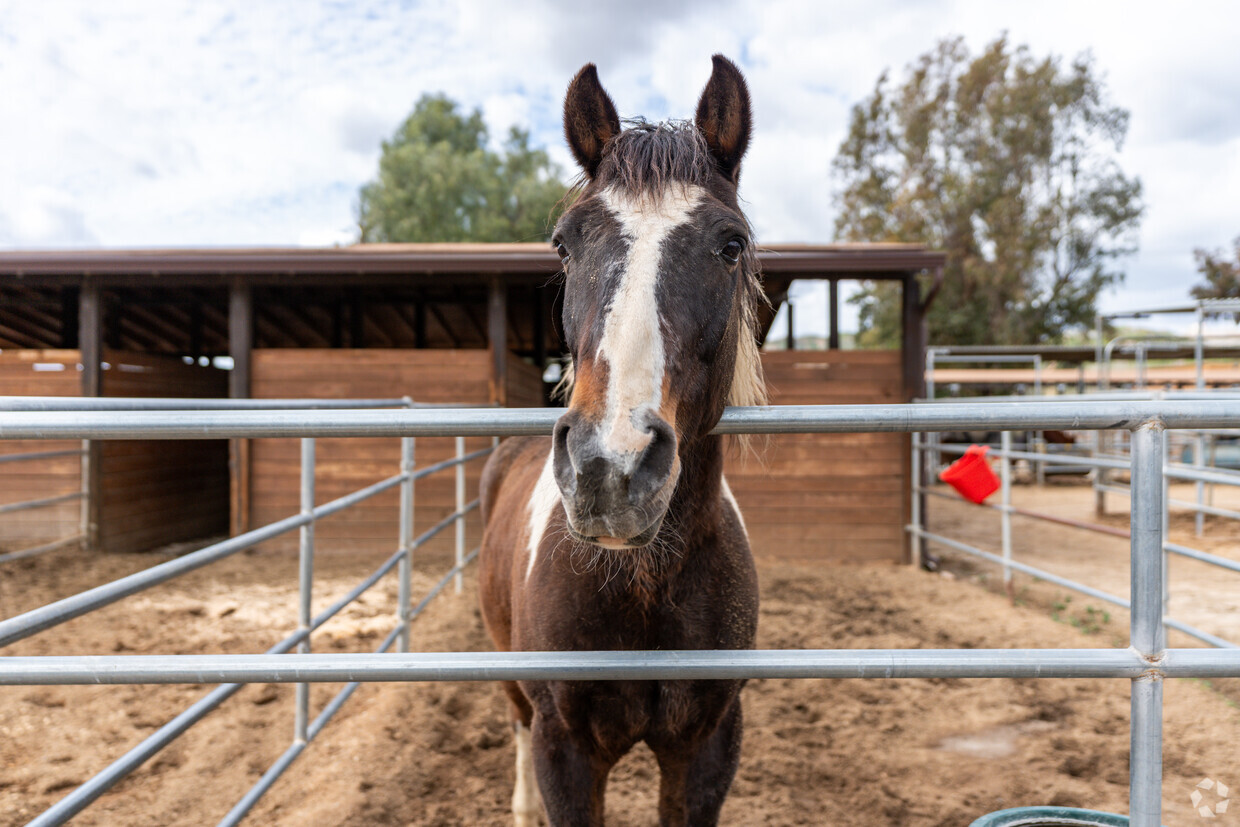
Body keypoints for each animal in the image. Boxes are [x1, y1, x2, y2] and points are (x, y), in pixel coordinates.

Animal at [481, 56, 763, 827]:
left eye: (731, 245)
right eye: (564, 243)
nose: (611, 467)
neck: (642, 583)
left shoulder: (708, 746)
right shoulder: (565, 750)